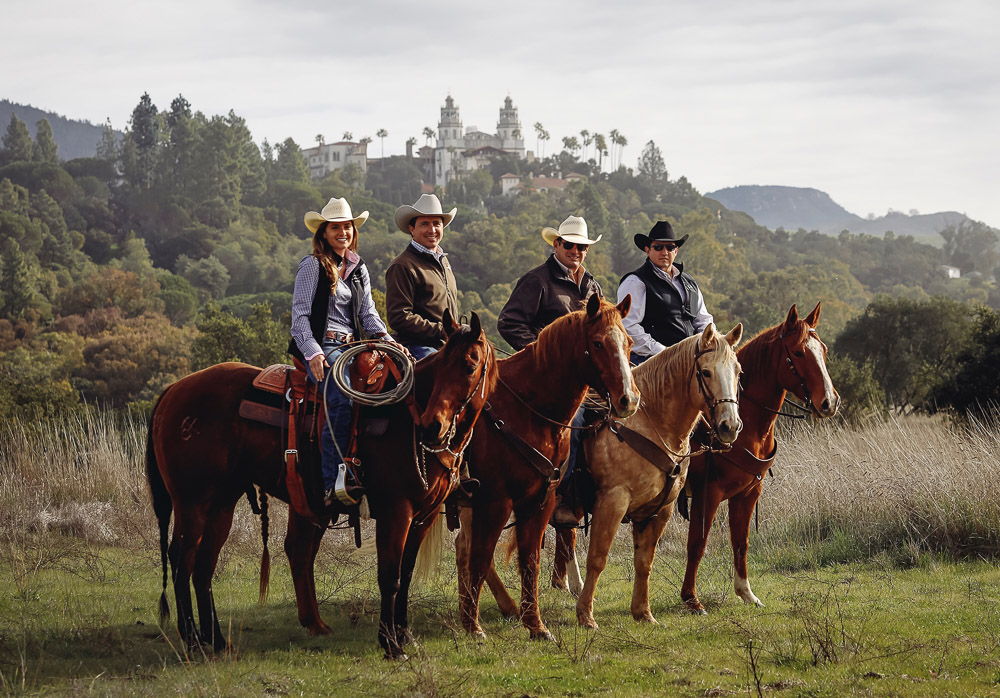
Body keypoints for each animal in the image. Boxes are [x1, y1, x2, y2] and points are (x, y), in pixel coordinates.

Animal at [146, 308, 496, 652]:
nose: (433, 426)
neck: (405, 417)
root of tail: (172, 392)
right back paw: (192, 639)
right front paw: (390, 643)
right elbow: (390, 575)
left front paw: (404, 634)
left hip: (221, 503)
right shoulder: (396, 511)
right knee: (182, 559)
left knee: (204, 564)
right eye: (443, 364)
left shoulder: (423, 516)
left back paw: (216, 640)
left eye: (469, 366)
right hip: (192, 502)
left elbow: (406, 574)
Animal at [456, 290, 640, 640]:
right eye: (598, 343)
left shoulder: (541, 499)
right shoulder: (496, 501)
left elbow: (531, 560)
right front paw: (472, 627)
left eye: (629, 342)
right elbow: (482, 557)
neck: (526, 410)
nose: (629, 399)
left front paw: (536, 625)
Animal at [576, 324, 748, 628]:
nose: (730, 426)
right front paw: (585, 615)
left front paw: (642, 612)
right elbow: (597, 558)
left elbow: (645, 562)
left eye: (738, 371)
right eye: (706, 372)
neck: (648, 423)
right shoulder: (612, 502)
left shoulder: (660, 510)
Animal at [680, 302, 844, 612]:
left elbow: (741, 542)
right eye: (798, 352)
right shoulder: (708, 493)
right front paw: (691, 599)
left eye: (824, 350)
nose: (829, 402)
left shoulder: (748, 493)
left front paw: (746, 592)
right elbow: (697, 543)